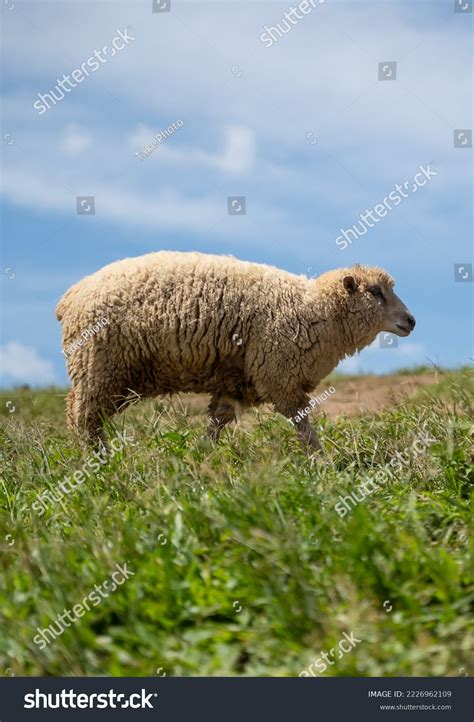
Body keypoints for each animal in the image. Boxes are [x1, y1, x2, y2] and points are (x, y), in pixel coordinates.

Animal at [57, 248, 414, 450]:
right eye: (375, 292)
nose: (410, 321)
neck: (315, 310)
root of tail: (71, 295)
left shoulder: (238, 383)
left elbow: (217, 422)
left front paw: (201, 457)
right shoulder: (279, 377)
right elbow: (303, 425)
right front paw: (321, 463)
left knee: (88, 419)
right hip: (98, 367)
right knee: (82, 418)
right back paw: (96, 463)